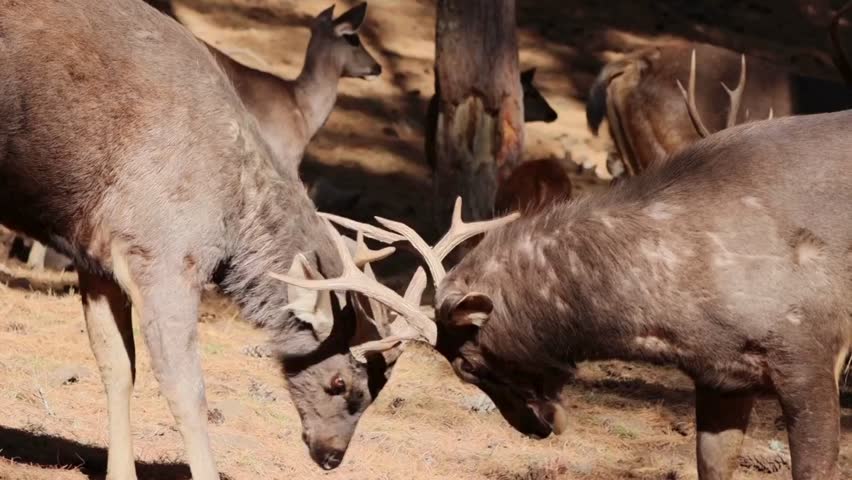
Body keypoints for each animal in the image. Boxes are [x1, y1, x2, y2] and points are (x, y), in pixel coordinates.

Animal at [0, 0, 446, 478]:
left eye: (379, 390)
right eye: (339, 381)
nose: (331, 456)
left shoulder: (97, 257)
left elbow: (118, 368)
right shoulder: (164, 254)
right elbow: (186, 387)